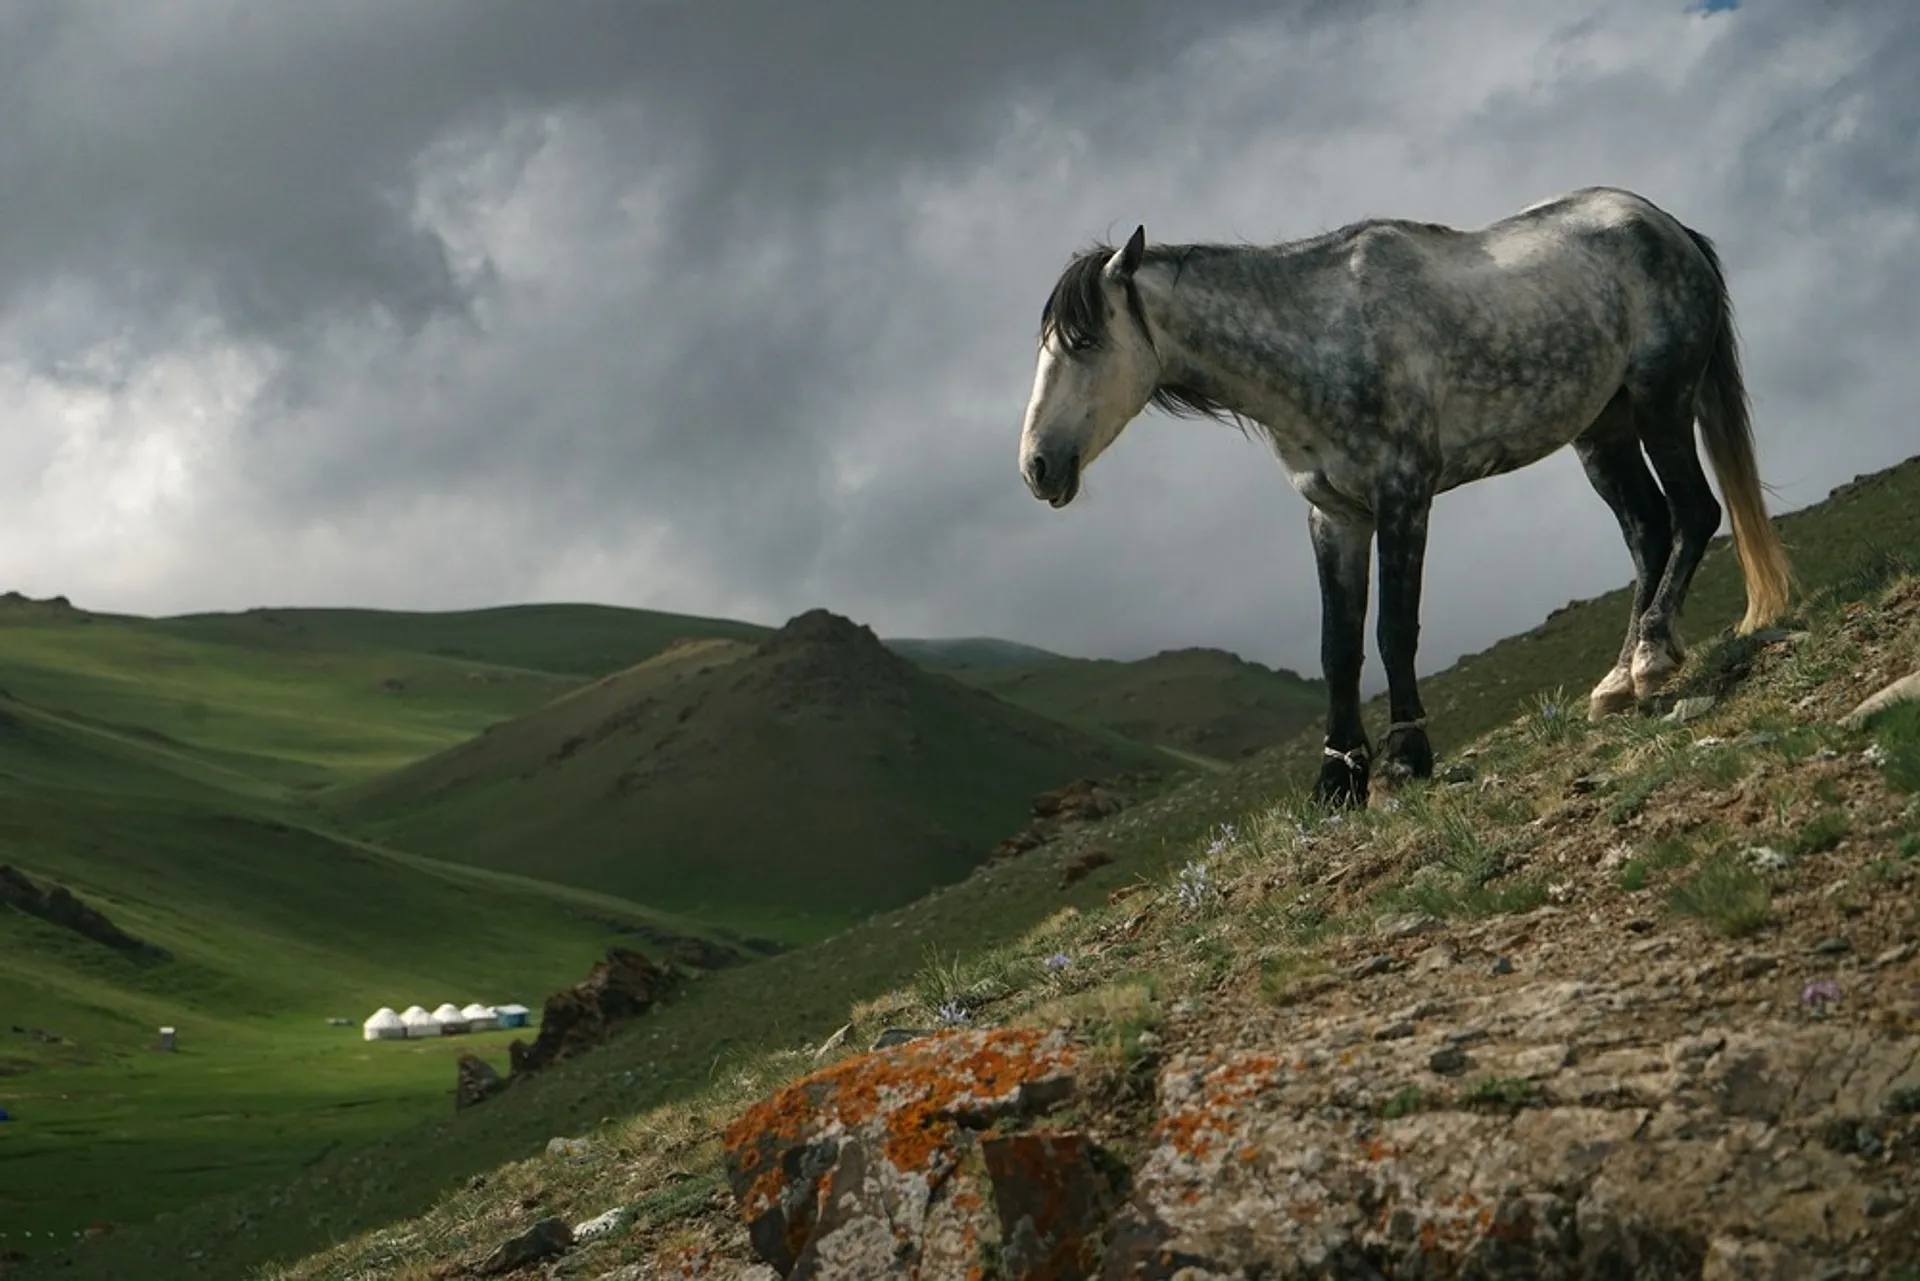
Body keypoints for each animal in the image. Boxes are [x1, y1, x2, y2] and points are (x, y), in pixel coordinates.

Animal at [1015, 186, 1792, 808]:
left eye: (1085, 343)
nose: (1037, 467)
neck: (1318, 340)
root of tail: (1666, 225)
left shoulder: (1403, 495)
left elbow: (1394, 629)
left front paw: (1405, 757)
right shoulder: (1334, 515)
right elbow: (1337, 647)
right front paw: (1337, 778)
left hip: (1662, 403)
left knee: (1694, 514)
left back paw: (1654, 658)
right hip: (1603, 430)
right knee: (1649, 531)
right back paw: (1619, 681)